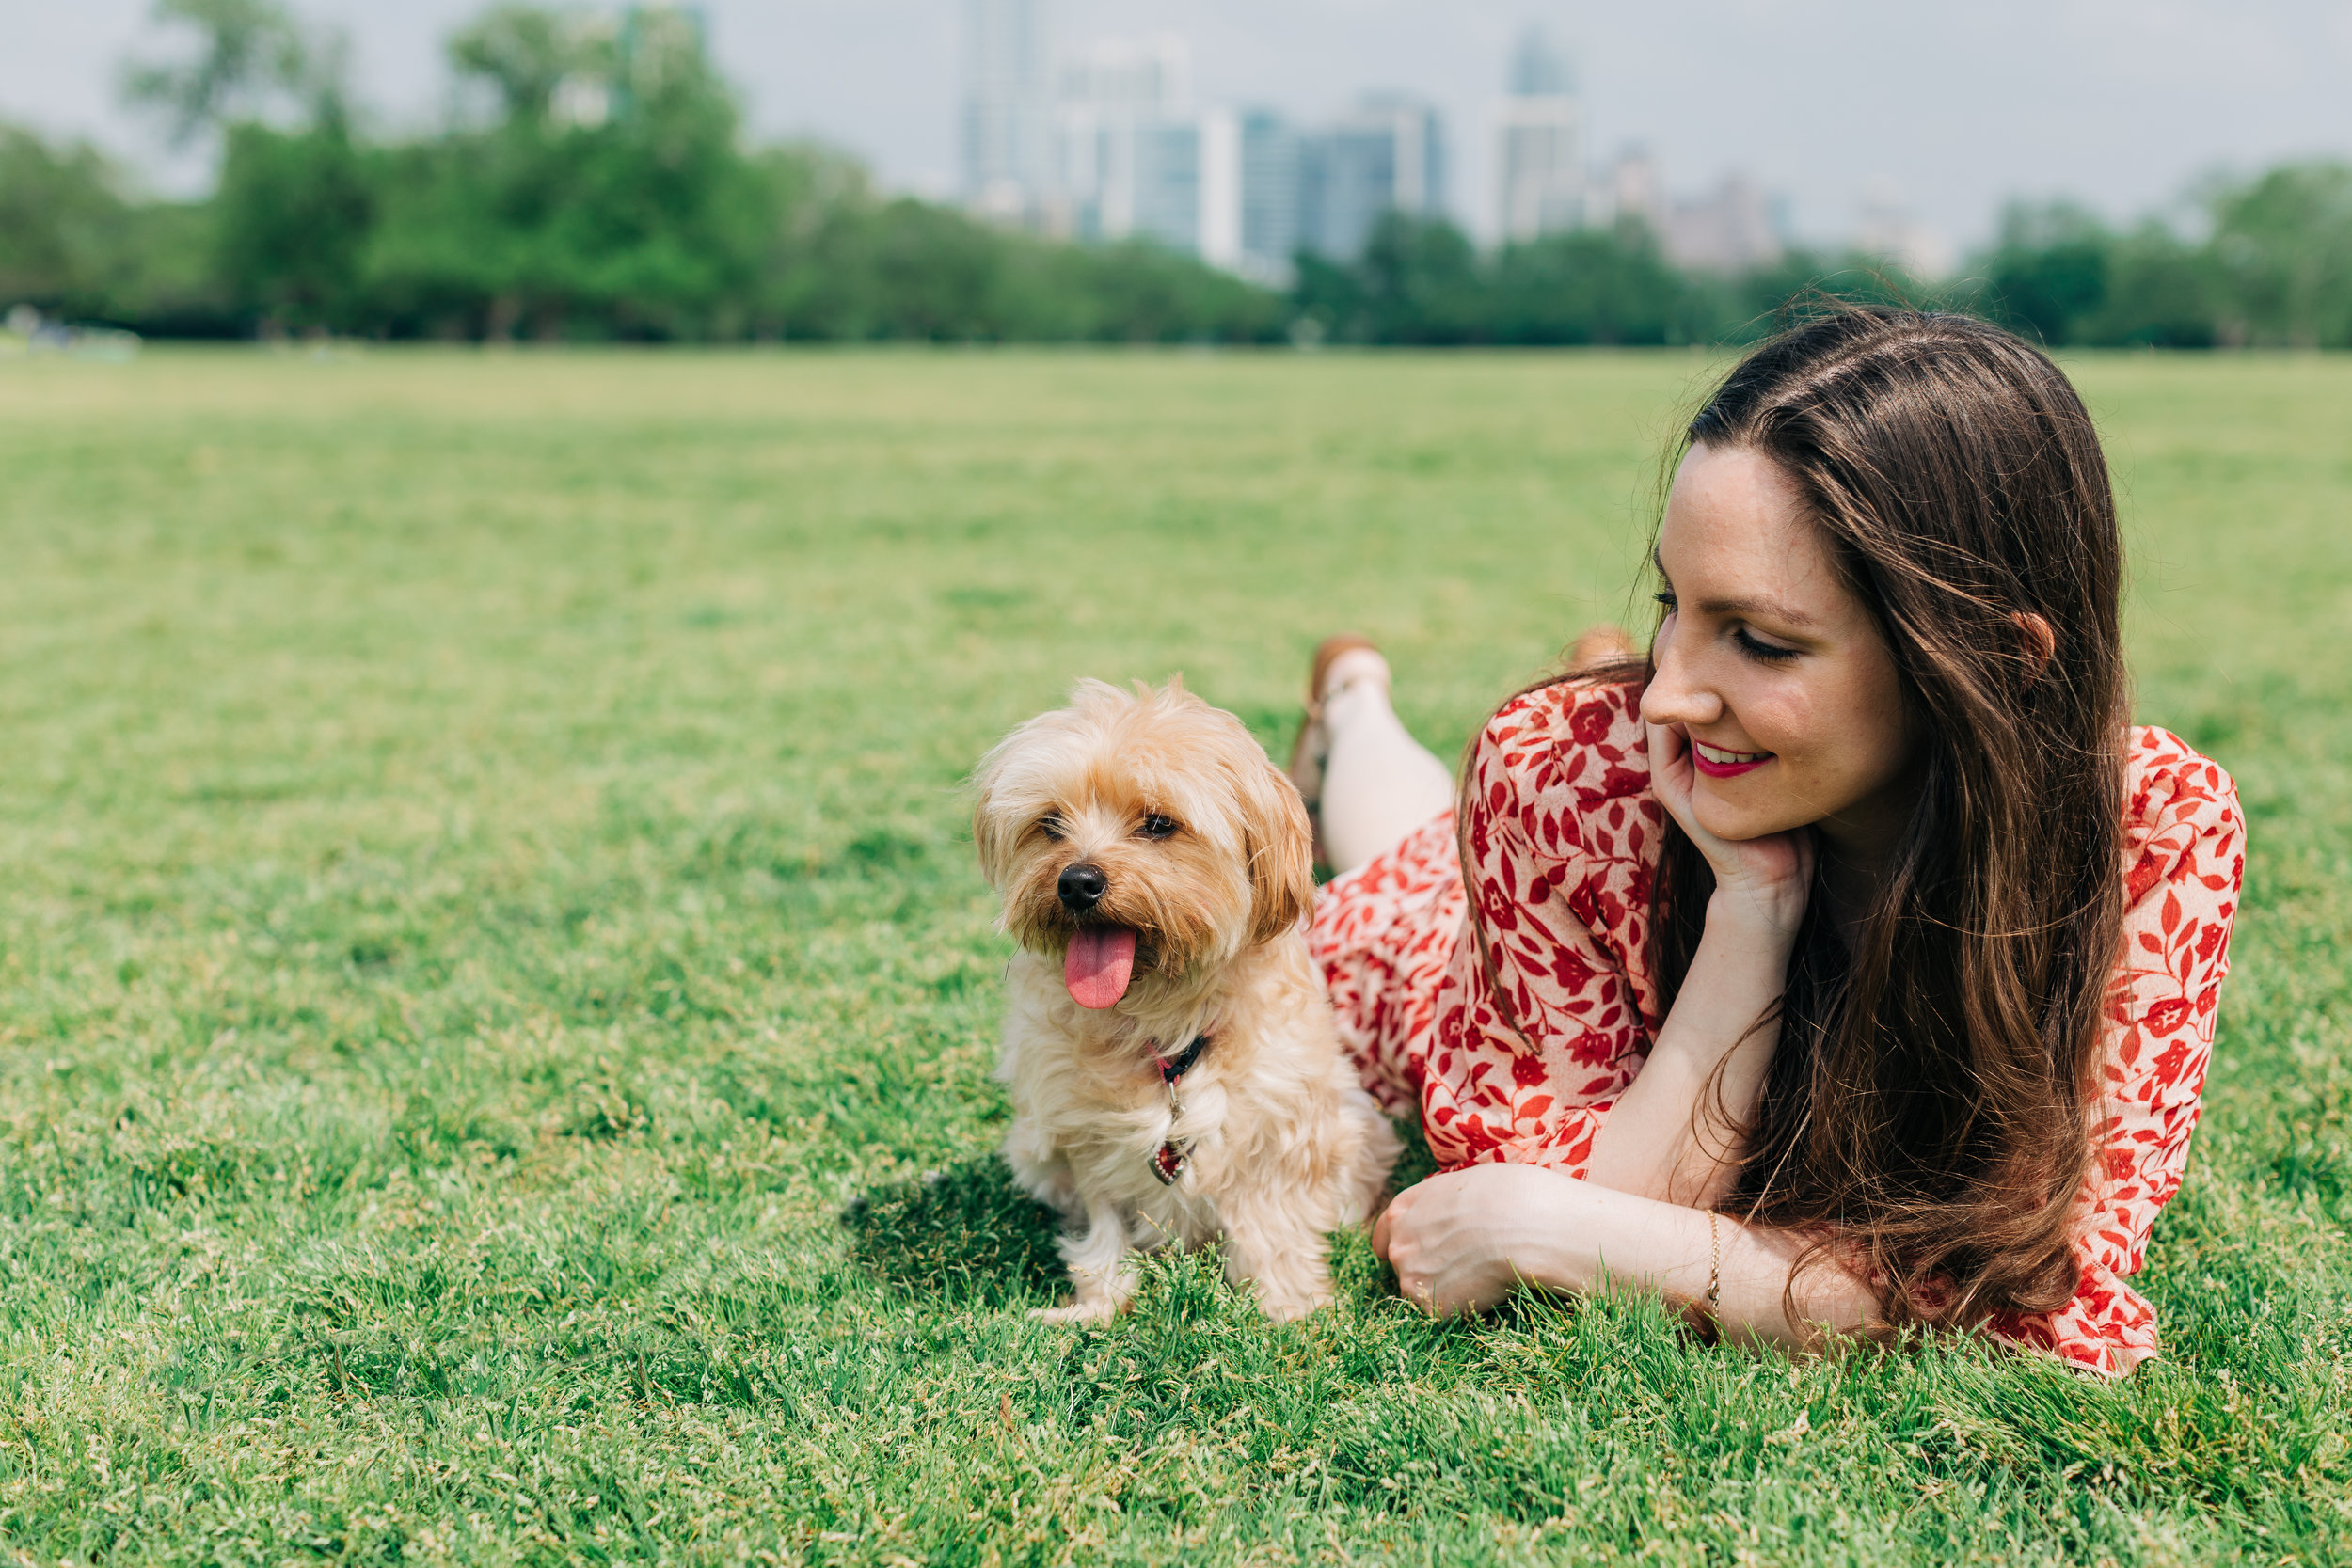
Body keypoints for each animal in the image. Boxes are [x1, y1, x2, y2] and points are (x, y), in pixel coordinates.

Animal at [969, 676, 1392, 1325]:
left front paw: (1288, 1310)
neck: (1161, 1024)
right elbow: (1103, 1224)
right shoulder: (1082, 1137)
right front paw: (1098, 1304)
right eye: (1051, 823)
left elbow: (1273, 1229)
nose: (1076, 881)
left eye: (1159, 824)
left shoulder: (1277, 1133)